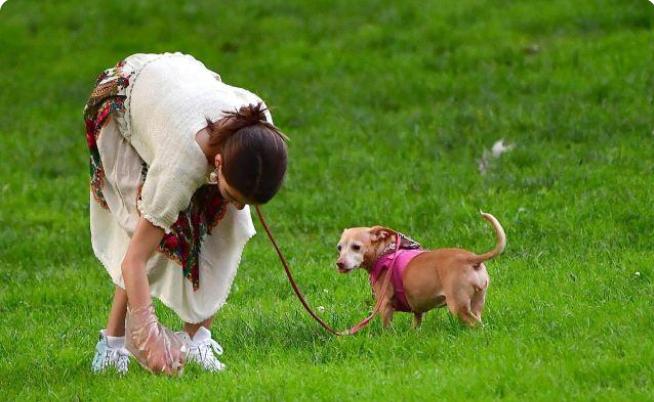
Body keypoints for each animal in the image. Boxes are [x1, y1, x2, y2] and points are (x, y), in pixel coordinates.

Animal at [338, 212, 508, 328]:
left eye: (356, 247)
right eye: (339, 248)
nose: (339, 263)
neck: (386, 252)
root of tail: (471, 258)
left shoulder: (385, 305)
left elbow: (387, 328)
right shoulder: (417, 308)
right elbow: (416, 324)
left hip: (458, 306)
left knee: (477, 325)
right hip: (477, 302)